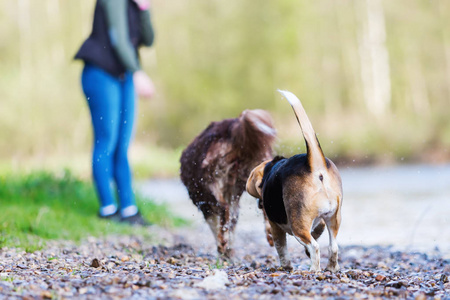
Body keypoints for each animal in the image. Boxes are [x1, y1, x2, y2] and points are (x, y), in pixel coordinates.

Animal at [178, 109, 274, 258]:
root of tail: (233, 126)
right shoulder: (233, 198)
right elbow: (232, 224)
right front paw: (228, 250)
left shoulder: (205, 204)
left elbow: (216, 225)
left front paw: (222, 248)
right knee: (263, 205)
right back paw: (270, 235)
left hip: (210, 181)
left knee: (224, 208)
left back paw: (223, 242)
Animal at [244, 89, 342, 272]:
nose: (260, 205)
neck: (271, 167)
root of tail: (314, 166)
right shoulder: (320, 223)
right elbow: (317, 233)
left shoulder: (275, 228)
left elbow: (281, 249)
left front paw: (286, 266)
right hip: (334, 219)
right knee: (333, 247)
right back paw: (331, 268)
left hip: (298, 227)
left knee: (314, 246)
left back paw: (314, 269)